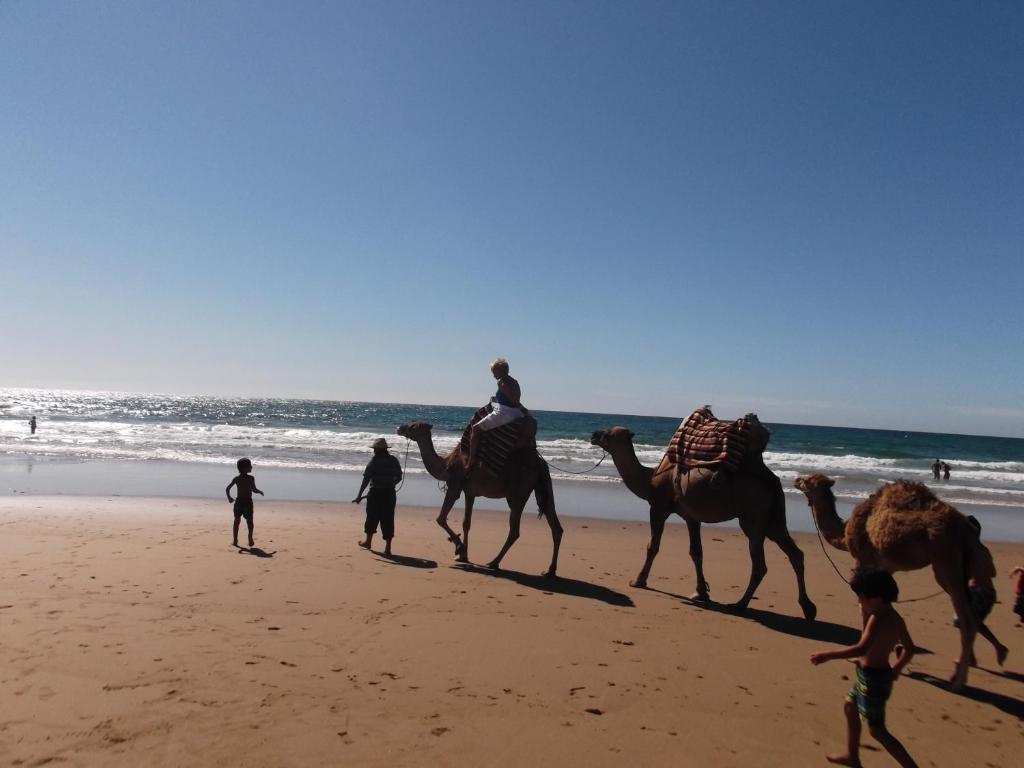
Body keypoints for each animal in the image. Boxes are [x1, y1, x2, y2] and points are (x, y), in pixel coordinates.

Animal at [395, 421, 565, 577]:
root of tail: (541, 463)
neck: (446, 465)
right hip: (543, 488)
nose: (399, 428)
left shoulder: (454, 486)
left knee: (515, 530)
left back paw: (494, 562)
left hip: (519, 493)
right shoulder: (469, 493)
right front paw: (463, 555)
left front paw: (459, 548)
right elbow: (466, 523)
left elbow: (441, 518)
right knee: (555, 526)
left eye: (413, 426)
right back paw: (550, 570)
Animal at [593, 423, 815, 622]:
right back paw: (808, 608)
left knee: (760, 563)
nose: (594, 434)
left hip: (753, 516)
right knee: (795, 553)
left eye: (609, 433)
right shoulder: (692, 517)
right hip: (773, 518)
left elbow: (653, 546)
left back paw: (739, 604)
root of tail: (772, 479)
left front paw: (638, 581)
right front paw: (701, 593)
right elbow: (696, 552)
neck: (650, 478)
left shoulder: (658, 508)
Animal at [790, 475, 983, 692]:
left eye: (809, 481)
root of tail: (966, 529)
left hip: (946, 563)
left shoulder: (863, 561)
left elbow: (863, 606)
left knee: (967, 620)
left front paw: (858, 655)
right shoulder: (885, 568)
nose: (796, 479)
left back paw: (958, 681)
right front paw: (897, 649)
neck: (845, 532)